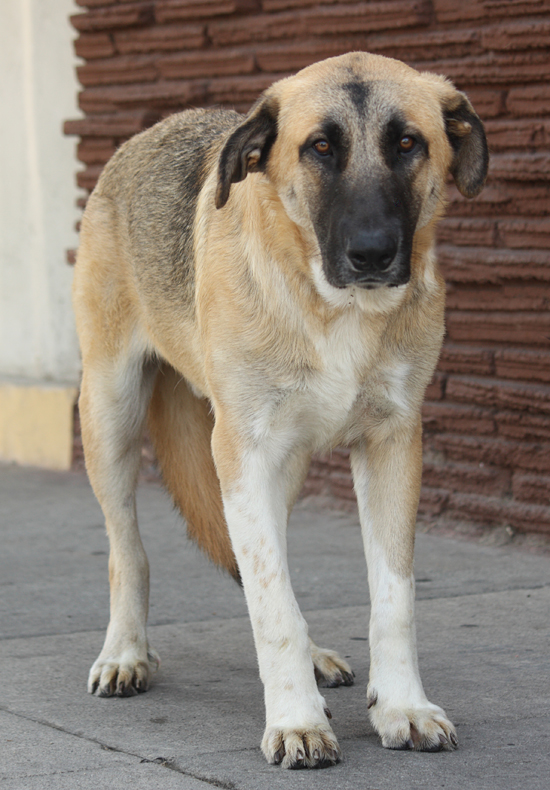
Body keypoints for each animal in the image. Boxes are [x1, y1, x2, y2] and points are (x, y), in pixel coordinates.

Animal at [72, 52, 488, 772]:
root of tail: (147, 133)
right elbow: (274, 606)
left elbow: (392, 598)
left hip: (283, 470)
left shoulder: (393, 444)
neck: (336, 308)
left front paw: (402, 706)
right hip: (110, 414)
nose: (373, 254)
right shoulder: (244, 452)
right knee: (129, 549)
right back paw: (125, 653)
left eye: (408, 143)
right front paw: (295, 719)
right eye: (319, 148)